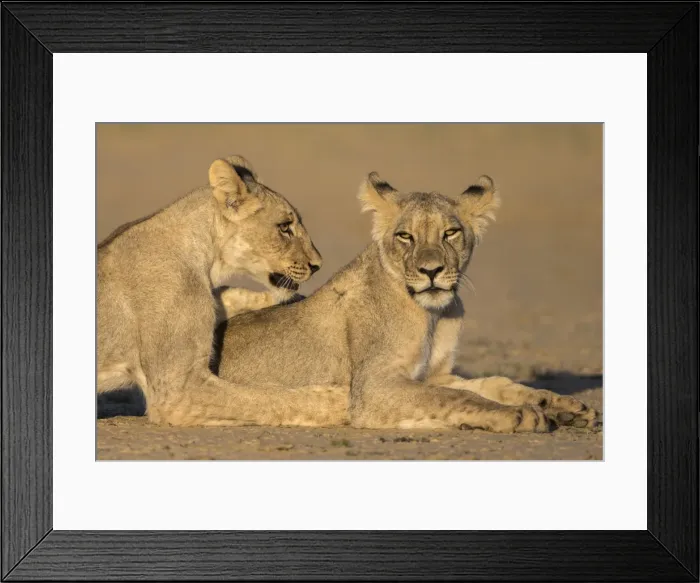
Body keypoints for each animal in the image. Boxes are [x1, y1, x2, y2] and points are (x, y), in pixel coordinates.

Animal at [97, 155, 322, 423]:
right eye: (285, 227)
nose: (318, 265)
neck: (207, 257)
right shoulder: (176, 392)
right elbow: (261, 398)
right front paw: (333, 402)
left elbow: (228, 293)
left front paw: (289, 298)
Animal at [204, 172, 599, 433]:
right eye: (405, 236)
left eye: (450, 233)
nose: (431, 271)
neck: (434, 315)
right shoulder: (372, 389)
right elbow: (454, 398)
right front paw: (519, 415)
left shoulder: (435, 373)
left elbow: (493, 384)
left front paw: (560, 405)